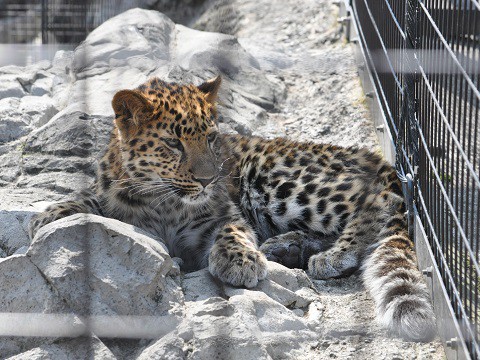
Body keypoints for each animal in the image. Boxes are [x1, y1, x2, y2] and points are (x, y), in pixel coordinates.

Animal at [29, 75, 436, 340]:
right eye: (174, 144)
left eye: (210, 138)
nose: (209, 179)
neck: (162, 200)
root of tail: (375, 157)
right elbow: (92, 199)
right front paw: (50, 215)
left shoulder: (223, 213)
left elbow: (231, 229)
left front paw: (239, 261)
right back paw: (287, 247)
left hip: (274, 176)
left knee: (378, 200)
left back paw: (331, 254)